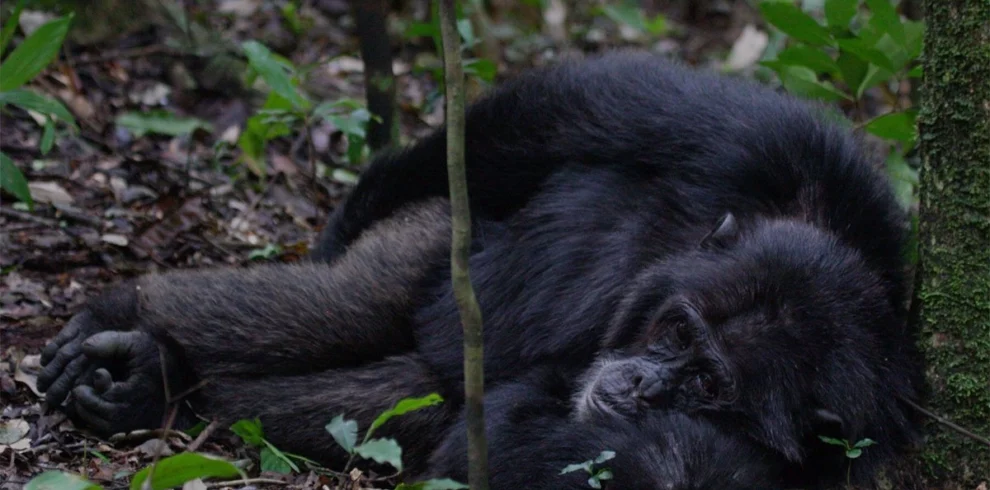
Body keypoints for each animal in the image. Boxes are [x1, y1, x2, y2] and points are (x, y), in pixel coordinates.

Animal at [39, 51, 924, 487]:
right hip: (439, 249)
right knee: (333, 301)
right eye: (678, 332)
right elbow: (556, 114)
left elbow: (518, 444)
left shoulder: (824, 460)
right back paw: (133, 330)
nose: (642, 383)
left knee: (374, 392)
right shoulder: (760, 138)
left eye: (709, 382)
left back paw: (160, 387)